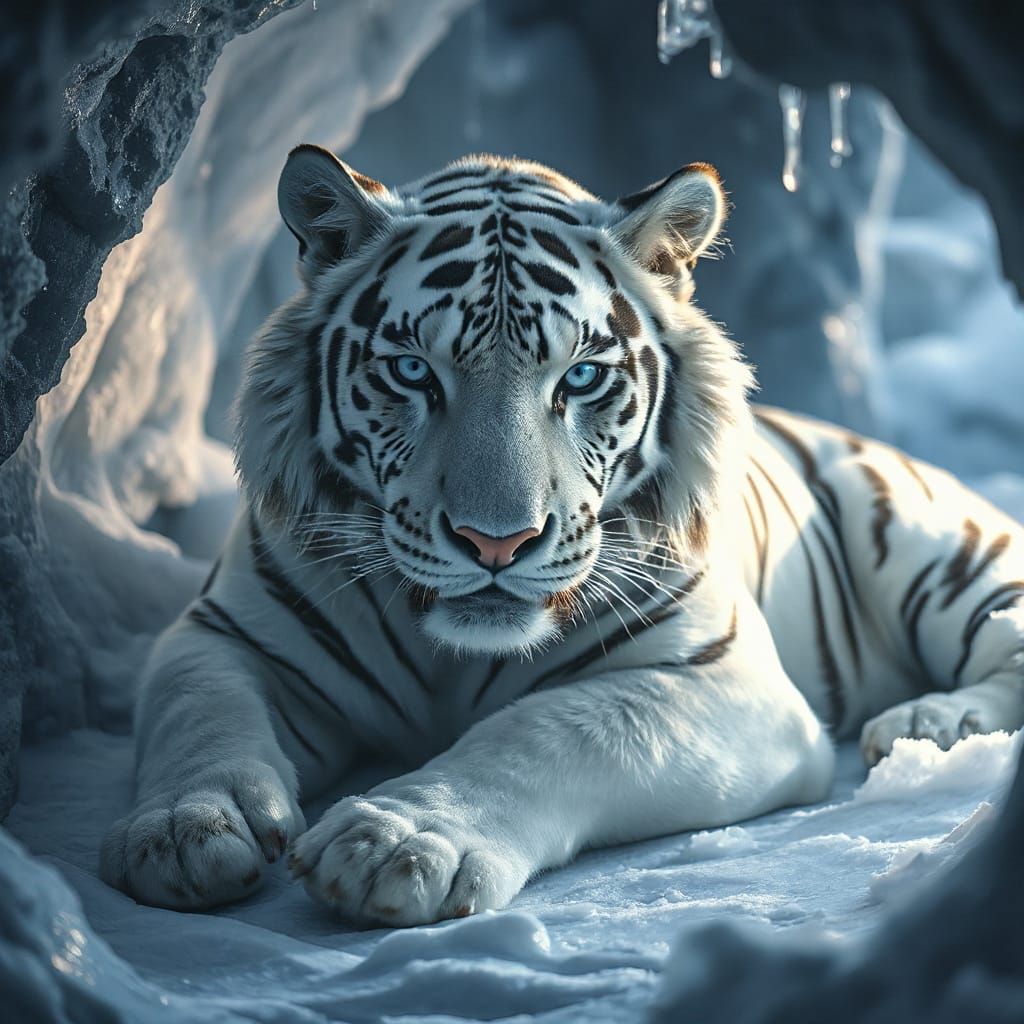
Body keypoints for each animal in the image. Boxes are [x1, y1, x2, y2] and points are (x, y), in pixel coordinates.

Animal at [100, 147, 1024, 927]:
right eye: (412, 371)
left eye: (579, 377)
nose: (496, 543)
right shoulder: (223, 633)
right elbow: (199, 711)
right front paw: (187, 828)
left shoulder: (723, 681)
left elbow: (543, 731)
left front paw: (396, 843)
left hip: (937, 552)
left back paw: (931, 725)